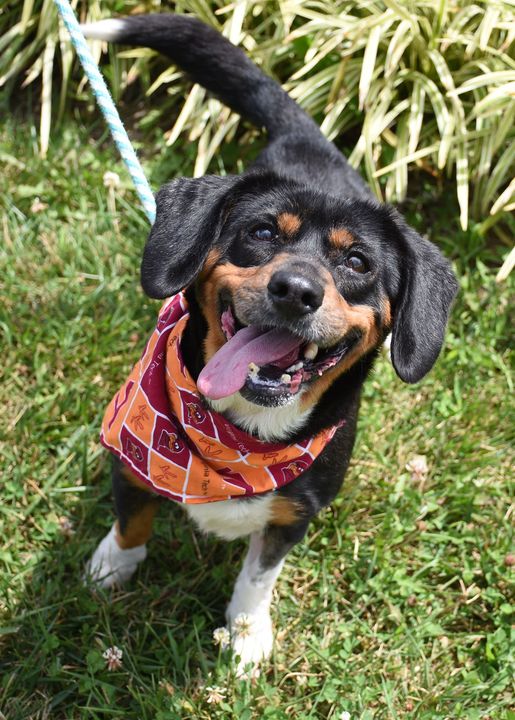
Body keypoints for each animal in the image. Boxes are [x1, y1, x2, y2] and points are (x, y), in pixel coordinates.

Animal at [81, 12, 460, 676]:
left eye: (357, 262)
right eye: (261, 232)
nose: (296, 290)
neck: (241, 434)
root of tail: (307, 142)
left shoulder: (296, 511)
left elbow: (259, 574)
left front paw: (247, 631)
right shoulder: (128, 456)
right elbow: (133, 519)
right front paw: (112, 566)